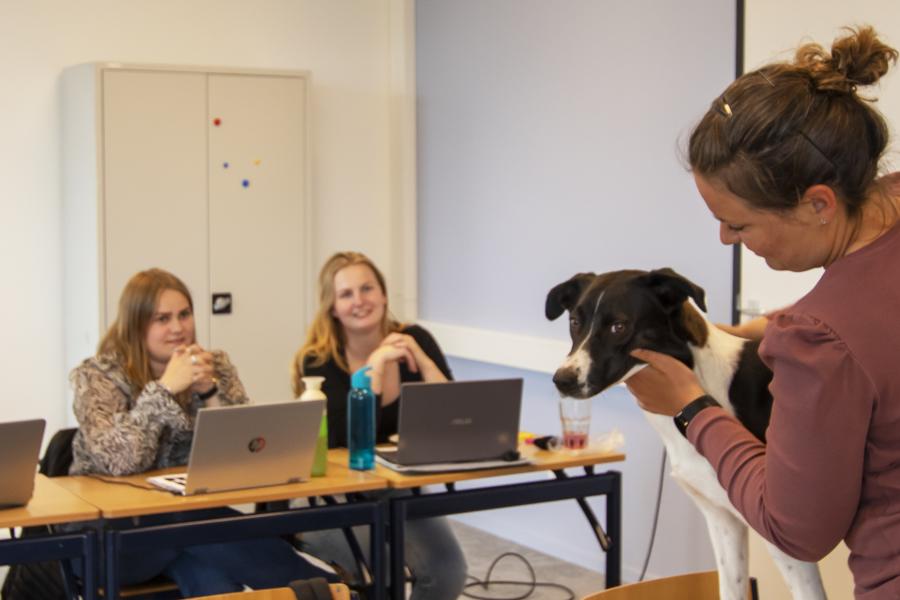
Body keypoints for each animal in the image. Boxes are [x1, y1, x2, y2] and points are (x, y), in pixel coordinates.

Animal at [544, 268, 828, 600]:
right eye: (575, 322)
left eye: (619, 326)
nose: (562, 380)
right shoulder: (723, 520)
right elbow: (730, 589)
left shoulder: (786, 538)